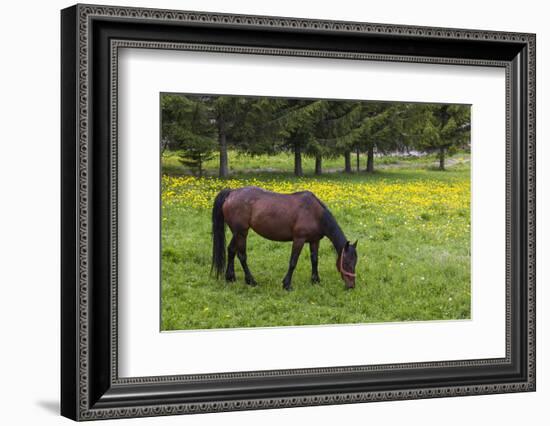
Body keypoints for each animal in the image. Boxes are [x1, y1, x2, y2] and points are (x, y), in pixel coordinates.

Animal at [210, 186, 358, 290]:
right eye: (346, 263)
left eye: (355, 263)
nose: (351, 286)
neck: (315, 213)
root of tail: (231, 192)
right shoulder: (299, 240)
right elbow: (293, 262)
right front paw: (287, 284)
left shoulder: (314, 241)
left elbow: (315, 260)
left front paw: (315, 280)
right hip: (241, 233)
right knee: (242, 256)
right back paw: (251, 281)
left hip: (237, 232)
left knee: (231, 250)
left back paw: (230, 278)